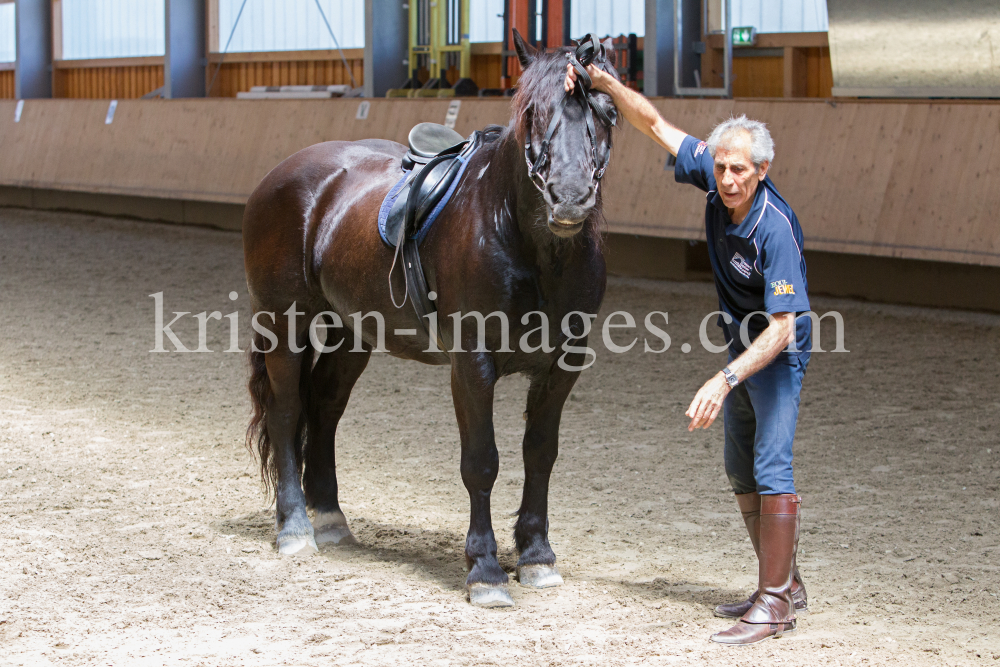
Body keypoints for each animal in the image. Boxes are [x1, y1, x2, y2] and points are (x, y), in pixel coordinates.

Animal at [242, 31, 616, 608]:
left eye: (609, 112)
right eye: (531, 111)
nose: (570, 198)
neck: (530, 249)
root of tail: (282, 174)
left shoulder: (561, 368)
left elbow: (540, 454)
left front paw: (536, 557)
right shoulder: (472, 365)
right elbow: (481, 461)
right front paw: (485, 570)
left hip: (353, 333)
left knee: (324, 409)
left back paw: (329, 517)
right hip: (284, 324)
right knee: (287, 413)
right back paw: (296, 528)